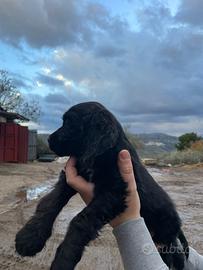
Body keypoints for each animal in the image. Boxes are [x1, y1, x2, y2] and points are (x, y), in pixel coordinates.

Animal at [15, 102, 188, 270]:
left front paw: (63, 260)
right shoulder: (68, 179)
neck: (99, 155)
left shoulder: (113, 193)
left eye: (69, 122)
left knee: (174, 251)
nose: (50, 140)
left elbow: (81, 220)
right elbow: (50, 202)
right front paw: (29, 238)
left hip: (165, 233)